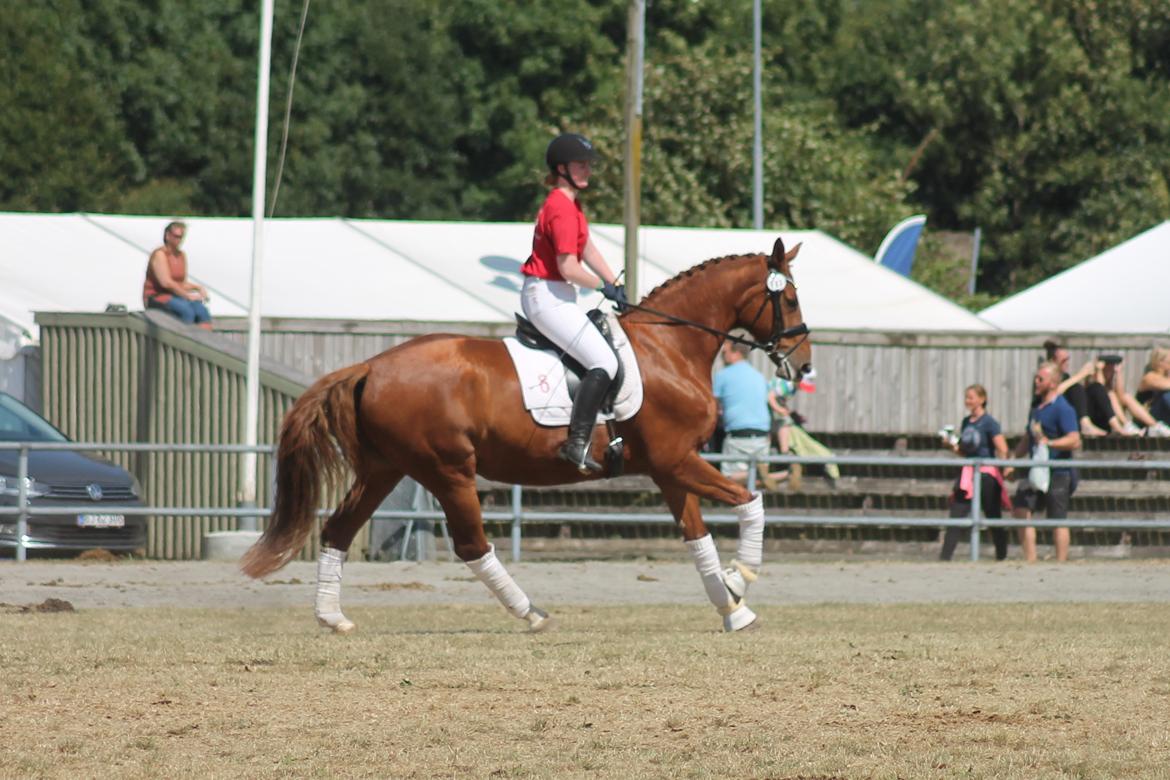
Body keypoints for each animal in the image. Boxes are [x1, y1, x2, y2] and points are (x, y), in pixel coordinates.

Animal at [244, 238, 814, 636]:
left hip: (386, 469)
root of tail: (371, 365)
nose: (804, 364)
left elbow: (698, 539)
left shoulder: (669, 469)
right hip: (449, 471)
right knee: (472, 545)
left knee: (339, 530)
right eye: (788, 298)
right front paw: (741, 578)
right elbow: (751, 502)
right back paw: (532, 613)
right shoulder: (676, 461)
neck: (668, 347)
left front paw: (732, 609)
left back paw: (332, 618)